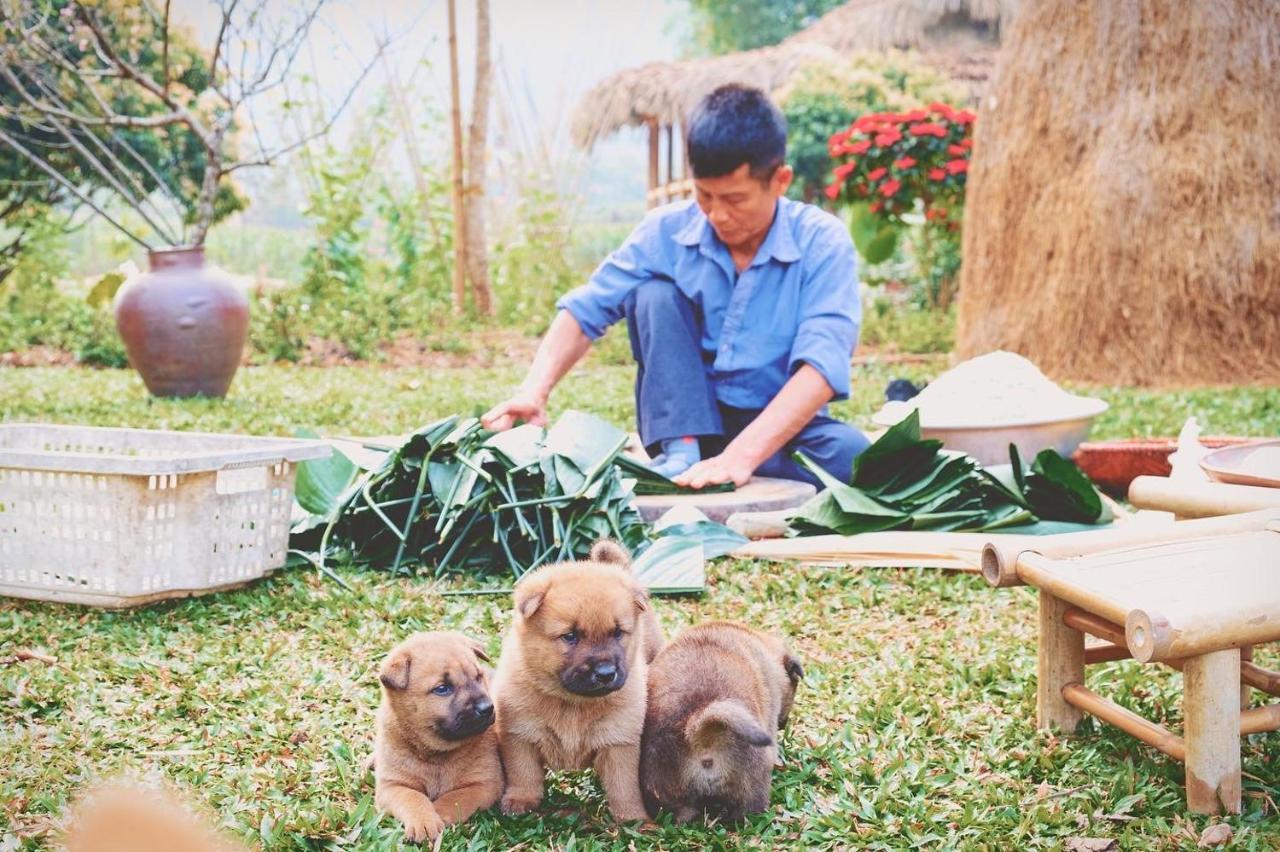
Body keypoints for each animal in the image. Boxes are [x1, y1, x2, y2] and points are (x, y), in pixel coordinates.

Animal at [373, 626, 501, 839]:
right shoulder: (392, 785)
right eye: (442, 689)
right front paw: (424, 821)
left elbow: (455, 797)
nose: (487, 708)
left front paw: (438, 813)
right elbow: (413, 798)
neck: (437, 755)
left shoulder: (485, 784)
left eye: (478, 677)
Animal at [494, 537, 665, 823]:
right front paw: (521, 800)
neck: (572, 703)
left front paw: (633, 819)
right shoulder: (519, 735)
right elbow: (523, 774)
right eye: (570, 636)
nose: (606, 672)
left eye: (618, 633)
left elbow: (624, 787)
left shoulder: (619, 741)